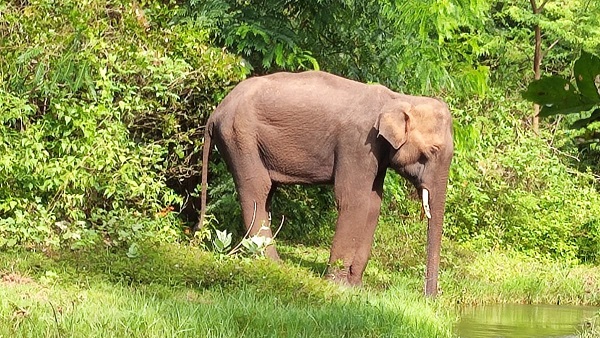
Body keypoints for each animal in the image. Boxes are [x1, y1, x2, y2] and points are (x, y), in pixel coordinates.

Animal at [199, 71, 452, 296]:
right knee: (256, 192)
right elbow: (354, 201)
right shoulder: (357, 143)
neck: (398, 98)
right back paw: (274, 264)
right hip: (240, 137)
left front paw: (356, 287)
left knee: (266, 193)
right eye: (432, 150)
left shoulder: (376, 153)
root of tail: (216, 112)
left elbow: (373, 205)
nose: (429, 298)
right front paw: (338, 286)